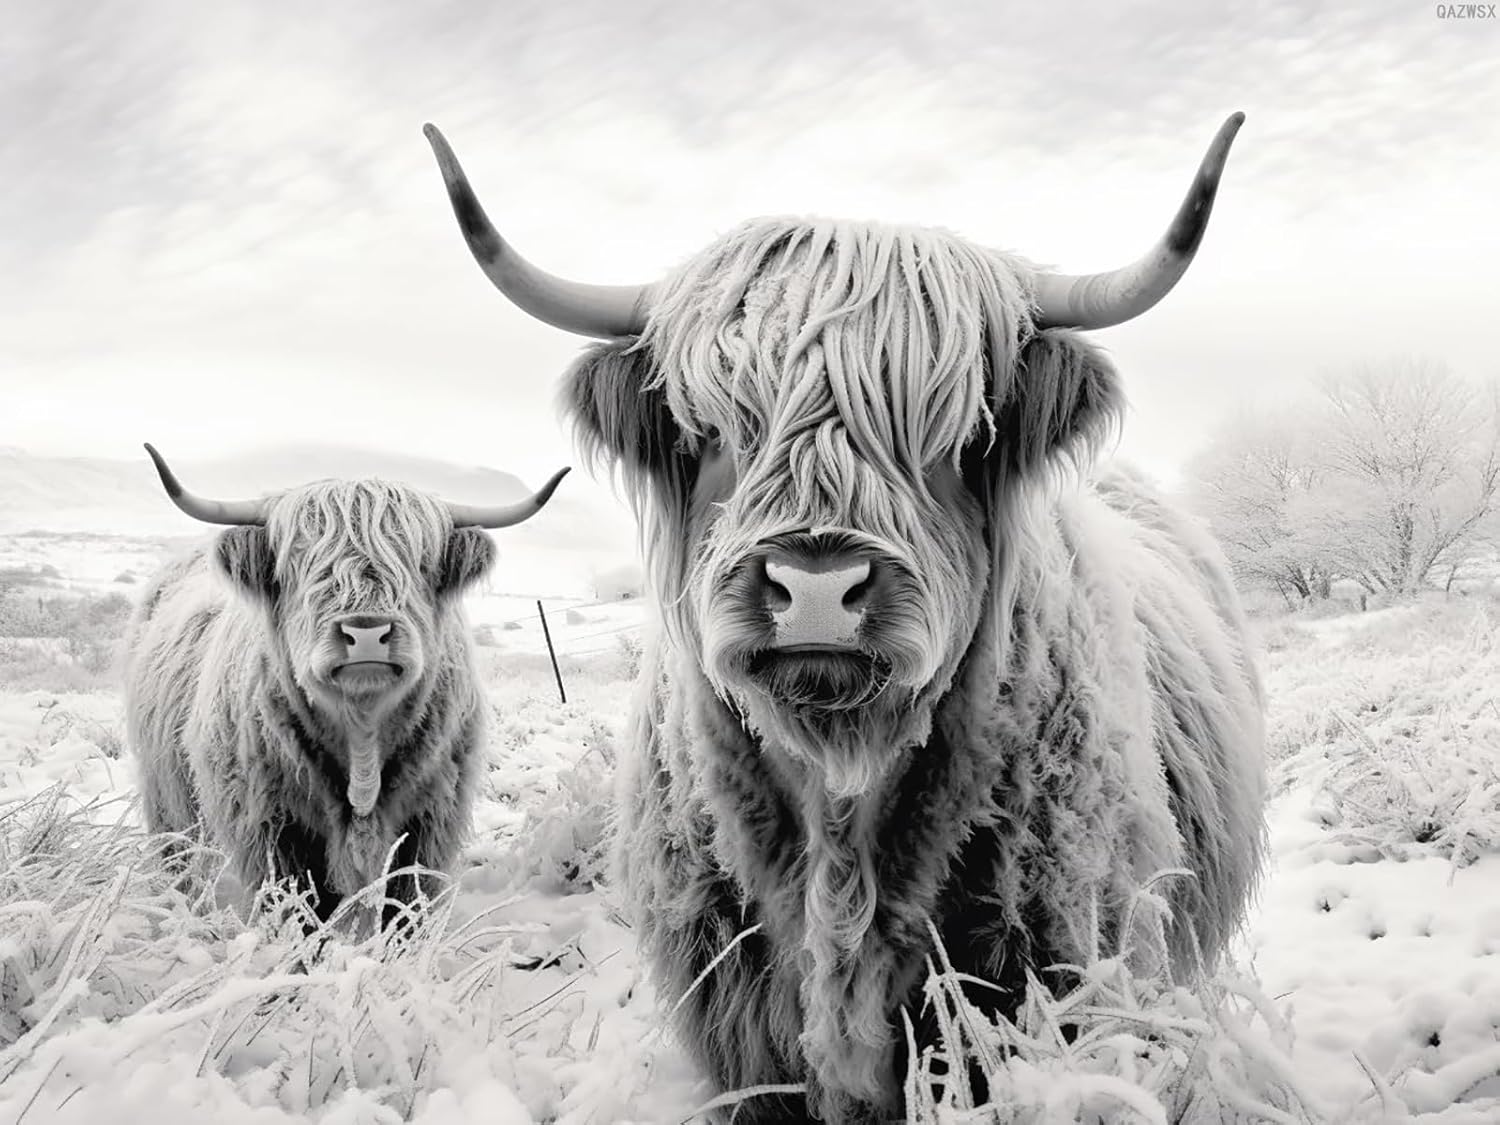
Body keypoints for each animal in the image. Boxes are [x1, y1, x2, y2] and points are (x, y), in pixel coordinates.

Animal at [124, 446, 569, 929]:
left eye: (420, 561)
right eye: (301, 563)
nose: (367, 631)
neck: (362, 736)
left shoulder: (430, 822)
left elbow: (405, 909)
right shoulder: (273, 829)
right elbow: (299, 911)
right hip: (167, 796)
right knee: (180, 859)